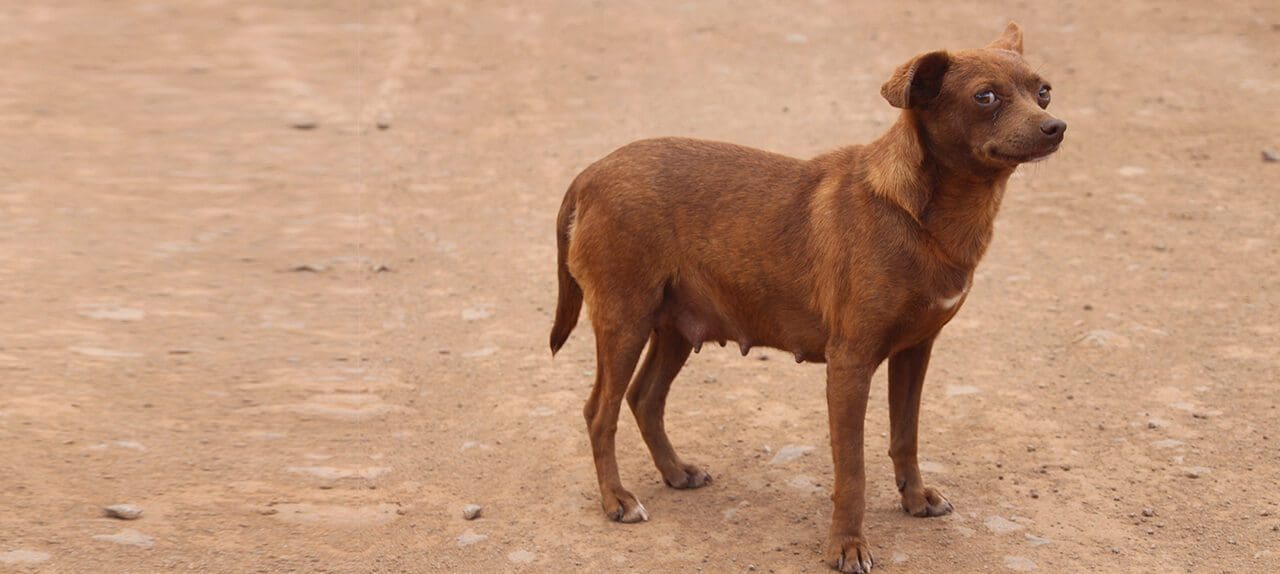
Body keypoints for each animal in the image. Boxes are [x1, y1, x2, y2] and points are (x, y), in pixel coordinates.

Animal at [550, 21, 1059, 568]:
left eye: (1044, 92)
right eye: (985, 97)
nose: (1057, 126)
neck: (925, 216)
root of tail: (590, 173)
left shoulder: (915, 352)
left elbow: (905, 437)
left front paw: (915, 497)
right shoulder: (850, 365)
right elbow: (852, 471)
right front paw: (848, 545)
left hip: (675, 329)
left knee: (644, 399)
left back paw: (675, 471)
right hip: (624, 323)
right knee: (599, 412)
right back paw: (616, 500)